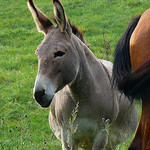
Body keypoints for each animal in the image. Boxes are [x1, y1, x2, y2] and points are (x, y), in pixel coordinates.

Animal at [28, 0, 138, 149]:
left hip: (114, 142)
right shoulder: (67, 136)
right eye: (37, 52)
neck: (82, 97)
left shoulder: (101, 136)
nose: (39, 94)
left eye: (59, 53)